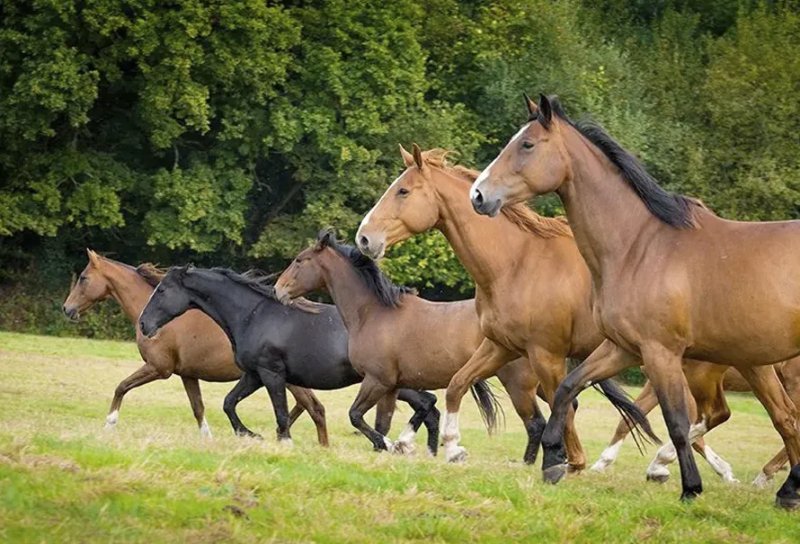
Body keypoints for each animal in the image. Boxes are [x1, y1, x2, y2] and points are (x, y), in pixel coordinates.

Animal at [62, 249, 329, 442]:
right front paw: (208, 438)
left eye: (83, 278)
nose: (67, 309)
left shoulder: (159, 368)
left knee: (314, 408)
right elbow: (197, 407)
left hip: (287, 379)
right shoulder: (187, 374)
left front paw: (109, 424)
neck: (163, 319)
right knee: (306, 407)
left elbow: (121, 387)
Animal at [137, 265, 444, 452]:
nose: (143, 324)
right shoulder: (254, 375)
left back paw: (400, 444)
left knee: (427, 404)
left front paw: (283, 442)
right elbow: (229, 403)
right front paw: (249, 434)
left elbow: (281, 413)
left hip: (389, 383)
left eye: (162, 290)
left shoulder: (271, 373)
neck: (254, 314)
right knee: (430, 408)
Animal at [274, 230, 647, 456]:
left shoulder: (377, 381)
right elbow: (383, 421)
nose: (278, 290)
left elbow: (358, 417)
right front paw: (395, 447)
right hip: (541, 381)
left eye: (299, 260)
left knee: (536, 424)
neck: (375, 313)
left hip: (519, 385)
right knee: (566, 407)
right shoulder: (390, 386)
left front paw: (395, 446)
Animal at [355, 144, 750, 482]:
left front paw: (565, 461)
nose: (364, 238)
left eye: (403, 191)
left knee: (710, 415)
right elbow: (457, 384)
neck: (517, 262)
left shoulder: (546, 353)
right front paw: (453, 449)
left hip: (685, 367)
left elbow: (565, 405)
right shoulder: (501, 346)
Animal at [470, 93, 800, 507]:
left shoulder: (661, 354)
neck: (638, 246)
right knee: (785, 420)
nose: (478, 195)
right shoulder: (623, 348)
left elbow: (675, 423)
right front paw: (555, 462)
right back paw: (787, 491)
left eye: (527, 145)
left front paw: (690, 488)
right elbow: (567, 388)